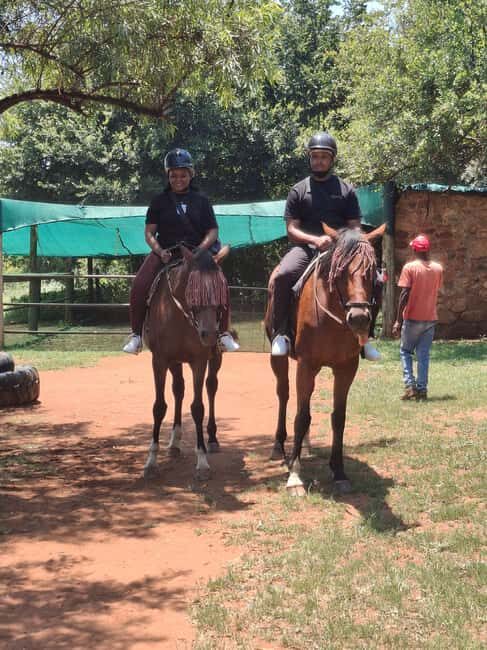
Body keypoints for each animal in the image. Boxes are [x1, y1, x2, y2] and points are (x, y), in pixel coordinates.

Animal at [143, 244, 230, 481]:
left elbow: (198, 407)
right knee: (178, 389)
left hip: (214, 358)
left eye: (220, 291)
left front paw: (202, 462)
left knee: (211, 387)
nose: (209, 334)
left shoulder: (199, 360)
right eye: (194, 291)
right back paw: (174, 442)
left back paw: (212, 439)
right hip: (174, 362)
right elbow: (158, 407)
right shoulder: (160, 360)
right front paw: (151, 461)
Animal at [264, 224, 386, 495]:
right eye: (339, 272)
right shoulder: (306, 366)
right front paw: (295, 475)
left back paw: (307, 446)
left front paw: (339, 471)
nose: (359, 318)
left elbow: (338, 417)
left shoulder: (346, 368)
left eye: (371, 271)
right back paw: (279, 446)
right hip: (280, 361)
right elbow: (301, 417)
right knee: (283, 395)